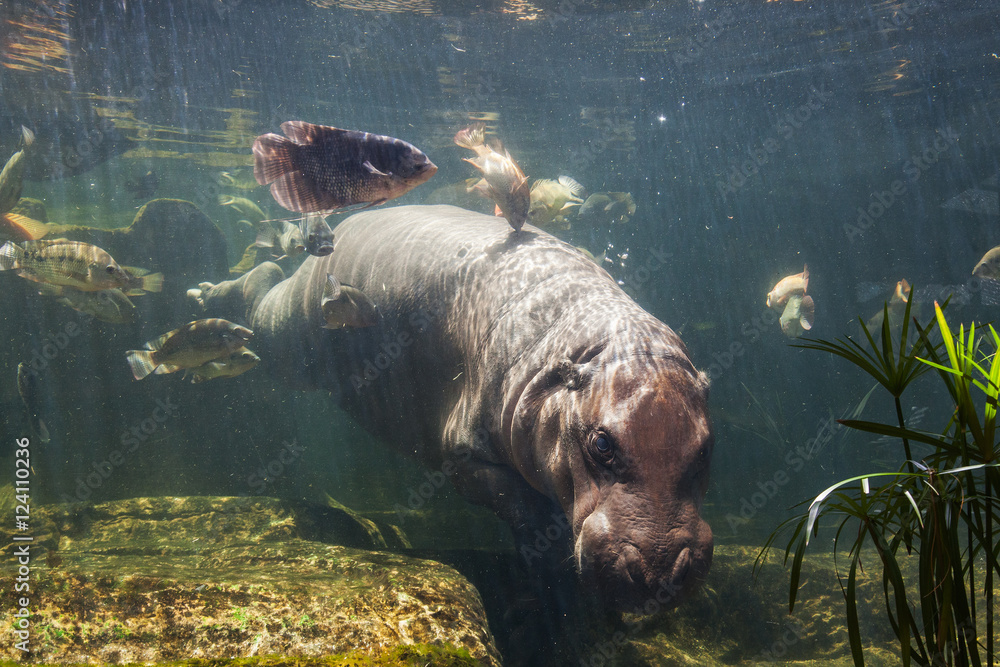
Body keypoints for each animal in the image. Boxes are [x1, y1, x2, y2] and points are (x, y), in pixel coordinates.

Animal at [196, 204, 713, 609]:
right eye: (601, 443)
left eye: (706, 450)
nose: (660, 568)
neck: (582, 346)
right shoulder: (464, 455)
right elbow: (520, 505)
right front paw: (548, 565)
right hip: (292, 339)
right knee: (261, 292)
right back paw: (207, 292)